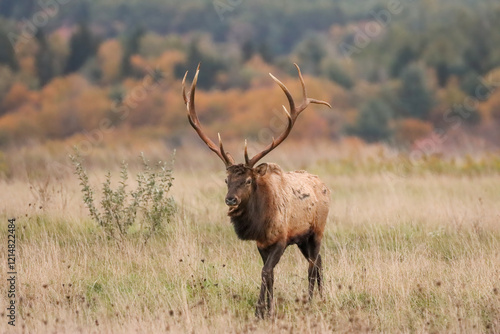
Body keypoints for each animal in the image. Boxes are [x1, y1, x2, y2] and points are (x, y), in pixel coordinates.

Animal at [182, 64, 330, 318]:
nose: (230, 199)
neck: (261, 223)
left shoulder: (281, 238)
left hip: (317, 230)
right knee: (318, 263)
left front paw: (262, 310)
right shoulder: (261, 244)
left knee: (313, 266)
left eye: (249, 180)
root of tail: (323, 183)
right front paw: (264, 309)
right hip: (303, 239)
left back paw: (311, 301)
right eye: (226, 179)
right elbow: (267, 274)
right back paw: (319, 298)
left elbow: (266, 272)